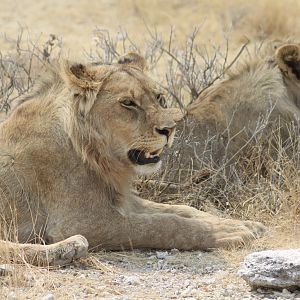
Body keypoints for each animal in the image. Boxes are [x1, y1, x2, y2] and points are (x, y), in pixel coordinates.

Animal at [0, 52, 264, 266]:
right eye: (128, 103)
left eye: (159, 98)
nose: (170, 129)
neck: (97, 155)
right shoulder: (82, 221)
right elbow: (162, 225)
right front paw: (227, 233)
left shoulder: (121, 198)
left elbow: (181, 209)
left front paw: (242, 223)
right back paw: (68, 249)